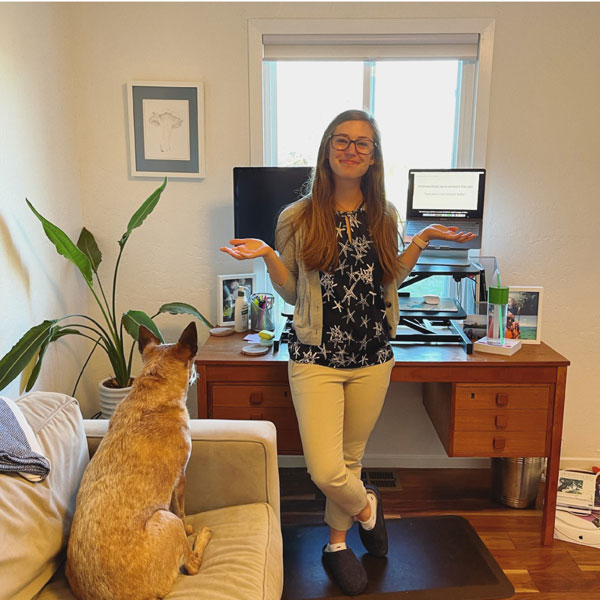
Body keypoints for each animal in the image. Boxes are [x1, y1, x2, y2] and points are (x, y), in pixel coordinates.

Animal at [65, 322, 211, 596]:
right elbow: (181, 510)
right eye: (194, 363)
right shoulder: (181, 477)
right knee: (192, 565)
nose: (196, 373)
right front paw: (189, 527)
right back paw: (202, 537)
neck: (154, 386)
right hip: (165, 519)